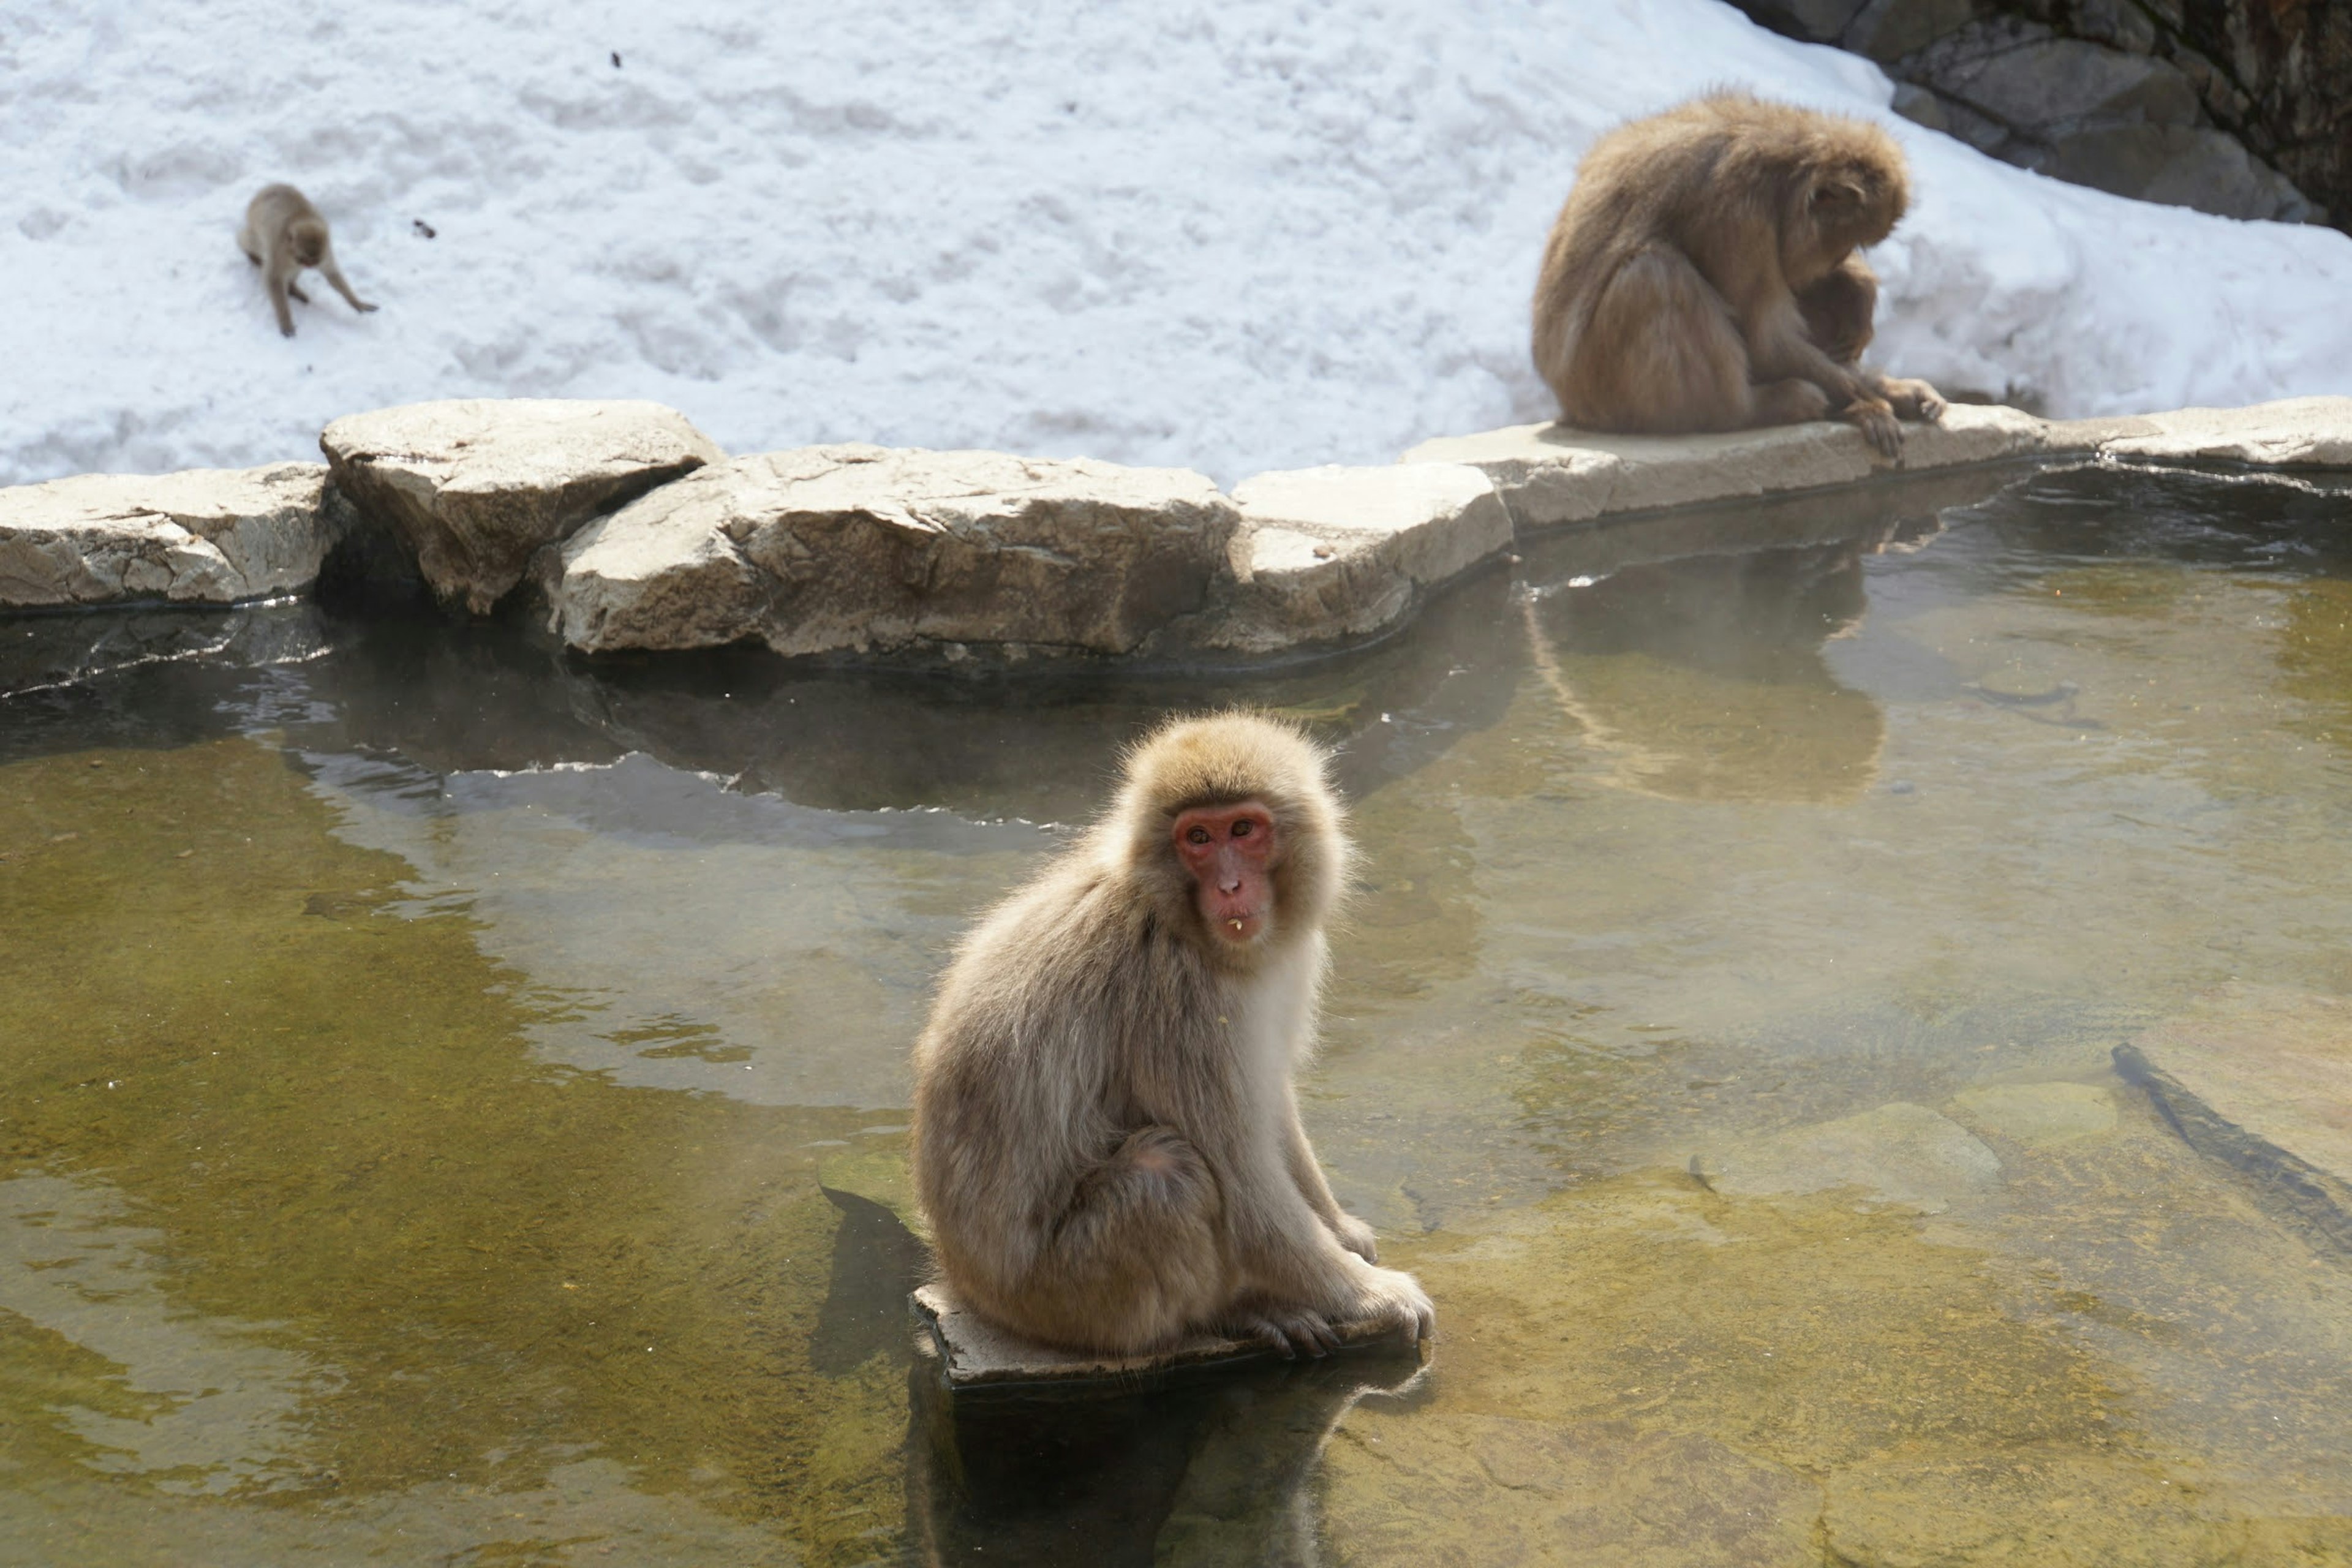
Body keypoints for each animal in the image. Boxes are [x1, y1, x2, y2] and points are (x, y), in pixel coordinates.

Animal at [235, 184, 374, 338]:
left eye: (315, 261)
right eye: (303, 258)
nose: (309, 265)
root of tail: (267, 188)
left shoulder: (325, 252)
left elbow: (331, 273)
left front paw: (357, 302)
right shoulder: (278, 250)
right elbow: (274, 279)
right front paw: (285, 320)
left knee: (294, 270)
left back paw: (293, 289)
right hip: (254, 225)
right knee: (252, 242)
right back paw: (251, 253)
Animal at [912, 714, 1430, 1363]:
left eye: (1243, 829)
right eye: (1198, 839)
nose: (1231, 887)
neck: (1177, 915)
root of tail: (963, 1278)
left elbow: (1270, 1100)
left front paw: (1340, 1228)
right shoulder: (1177, 996)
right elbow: (1245, 1182)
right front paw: (1372, 1295)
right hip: (1063, 1295)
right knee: (1167, 1174)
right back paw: (1236, 1311)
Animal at [1524, 94, 1947, 453]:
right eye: (1848, 241)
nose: (1838, 260)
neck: (1781, 174)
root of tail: (1568, 403)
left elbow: (1794, 294)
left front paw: (1858, 294)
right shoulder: (1737, 214)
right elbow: (1767, 339)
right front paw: (1870, 406)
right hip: (1606, 395)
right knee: (1656, 275)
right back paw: (1752, 410)